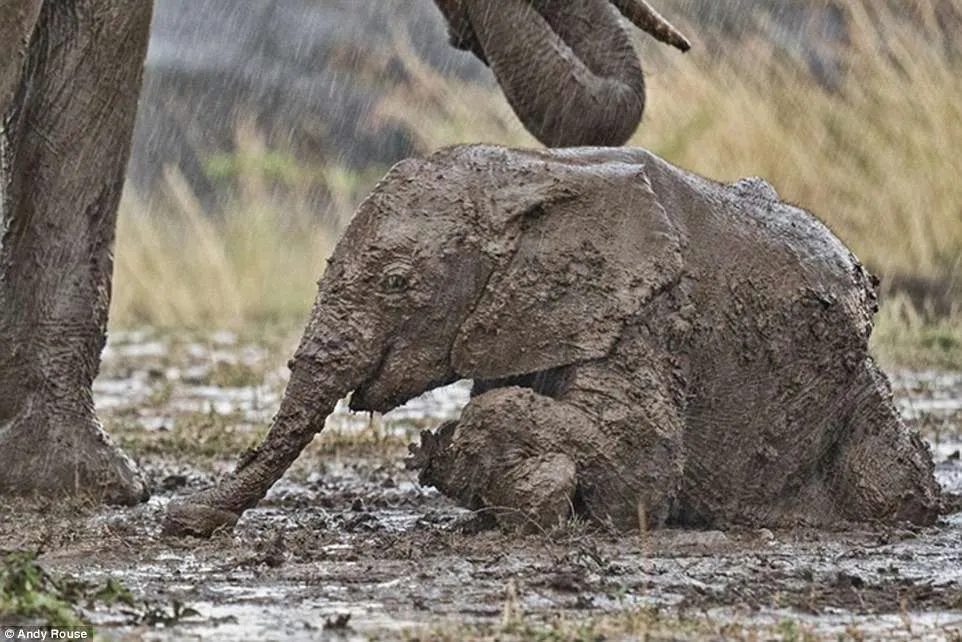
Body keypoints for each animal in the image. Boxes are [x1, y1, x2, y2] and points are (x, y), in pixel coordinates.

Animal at [163, 144, 936, 536]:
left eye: (398, 282)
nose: (181, 519)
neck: (536, 170)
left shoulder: (650, 311)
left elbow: (641, 468)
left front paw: (452, 454)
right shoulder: (523, 319)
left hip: (854, 393)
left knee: (889, 484)